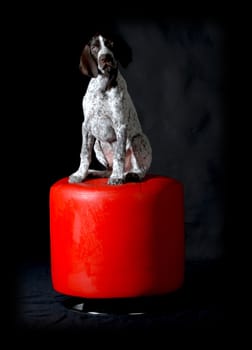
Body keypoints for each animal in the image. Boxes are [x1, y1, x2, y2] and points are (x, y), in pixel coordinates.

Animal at [68, 33, 152, 186]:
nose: (105, 58)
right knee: (108, 170)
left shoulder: (120, 125)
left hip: (138, 139)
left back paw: (129, 175)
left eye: (111, 44)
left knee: (140, 171)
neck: (102, 85)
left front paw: (117, 178)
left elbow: (119, 155)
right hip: (97, 145)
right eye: (94, 48)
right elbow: (84, 154)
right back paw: (94, 172)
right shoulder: (86, 125)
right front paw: (80, 174)